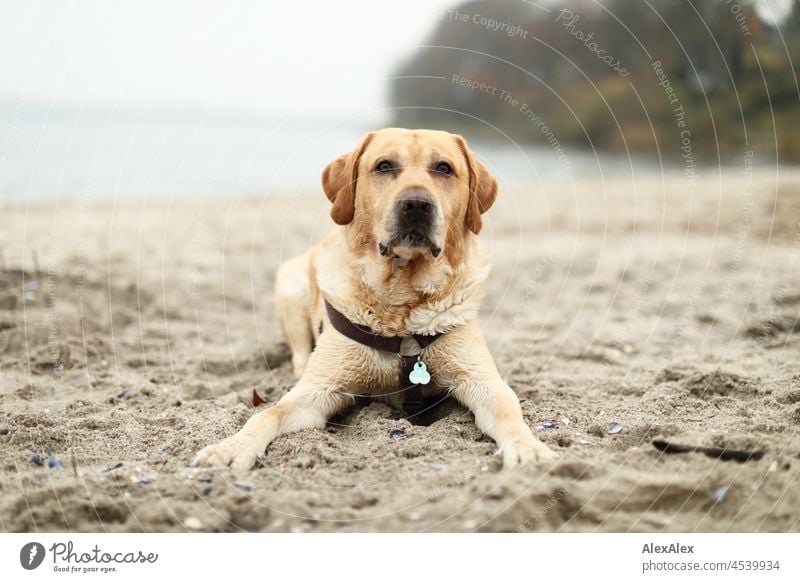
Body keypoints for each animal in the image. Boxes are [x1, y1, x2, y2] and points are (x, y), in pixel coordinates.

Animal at [194, 129, 556, 474]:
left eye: (443, 168)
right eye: (384, 166)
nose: (416, 204)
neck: (401, 302)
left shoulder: (482, 381)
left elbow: (509, 411)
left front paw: (529, 448)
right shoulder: (319, 389)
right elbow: (269, 413)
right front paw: (231, 448)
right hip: (291, 287)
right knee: (298, 352)